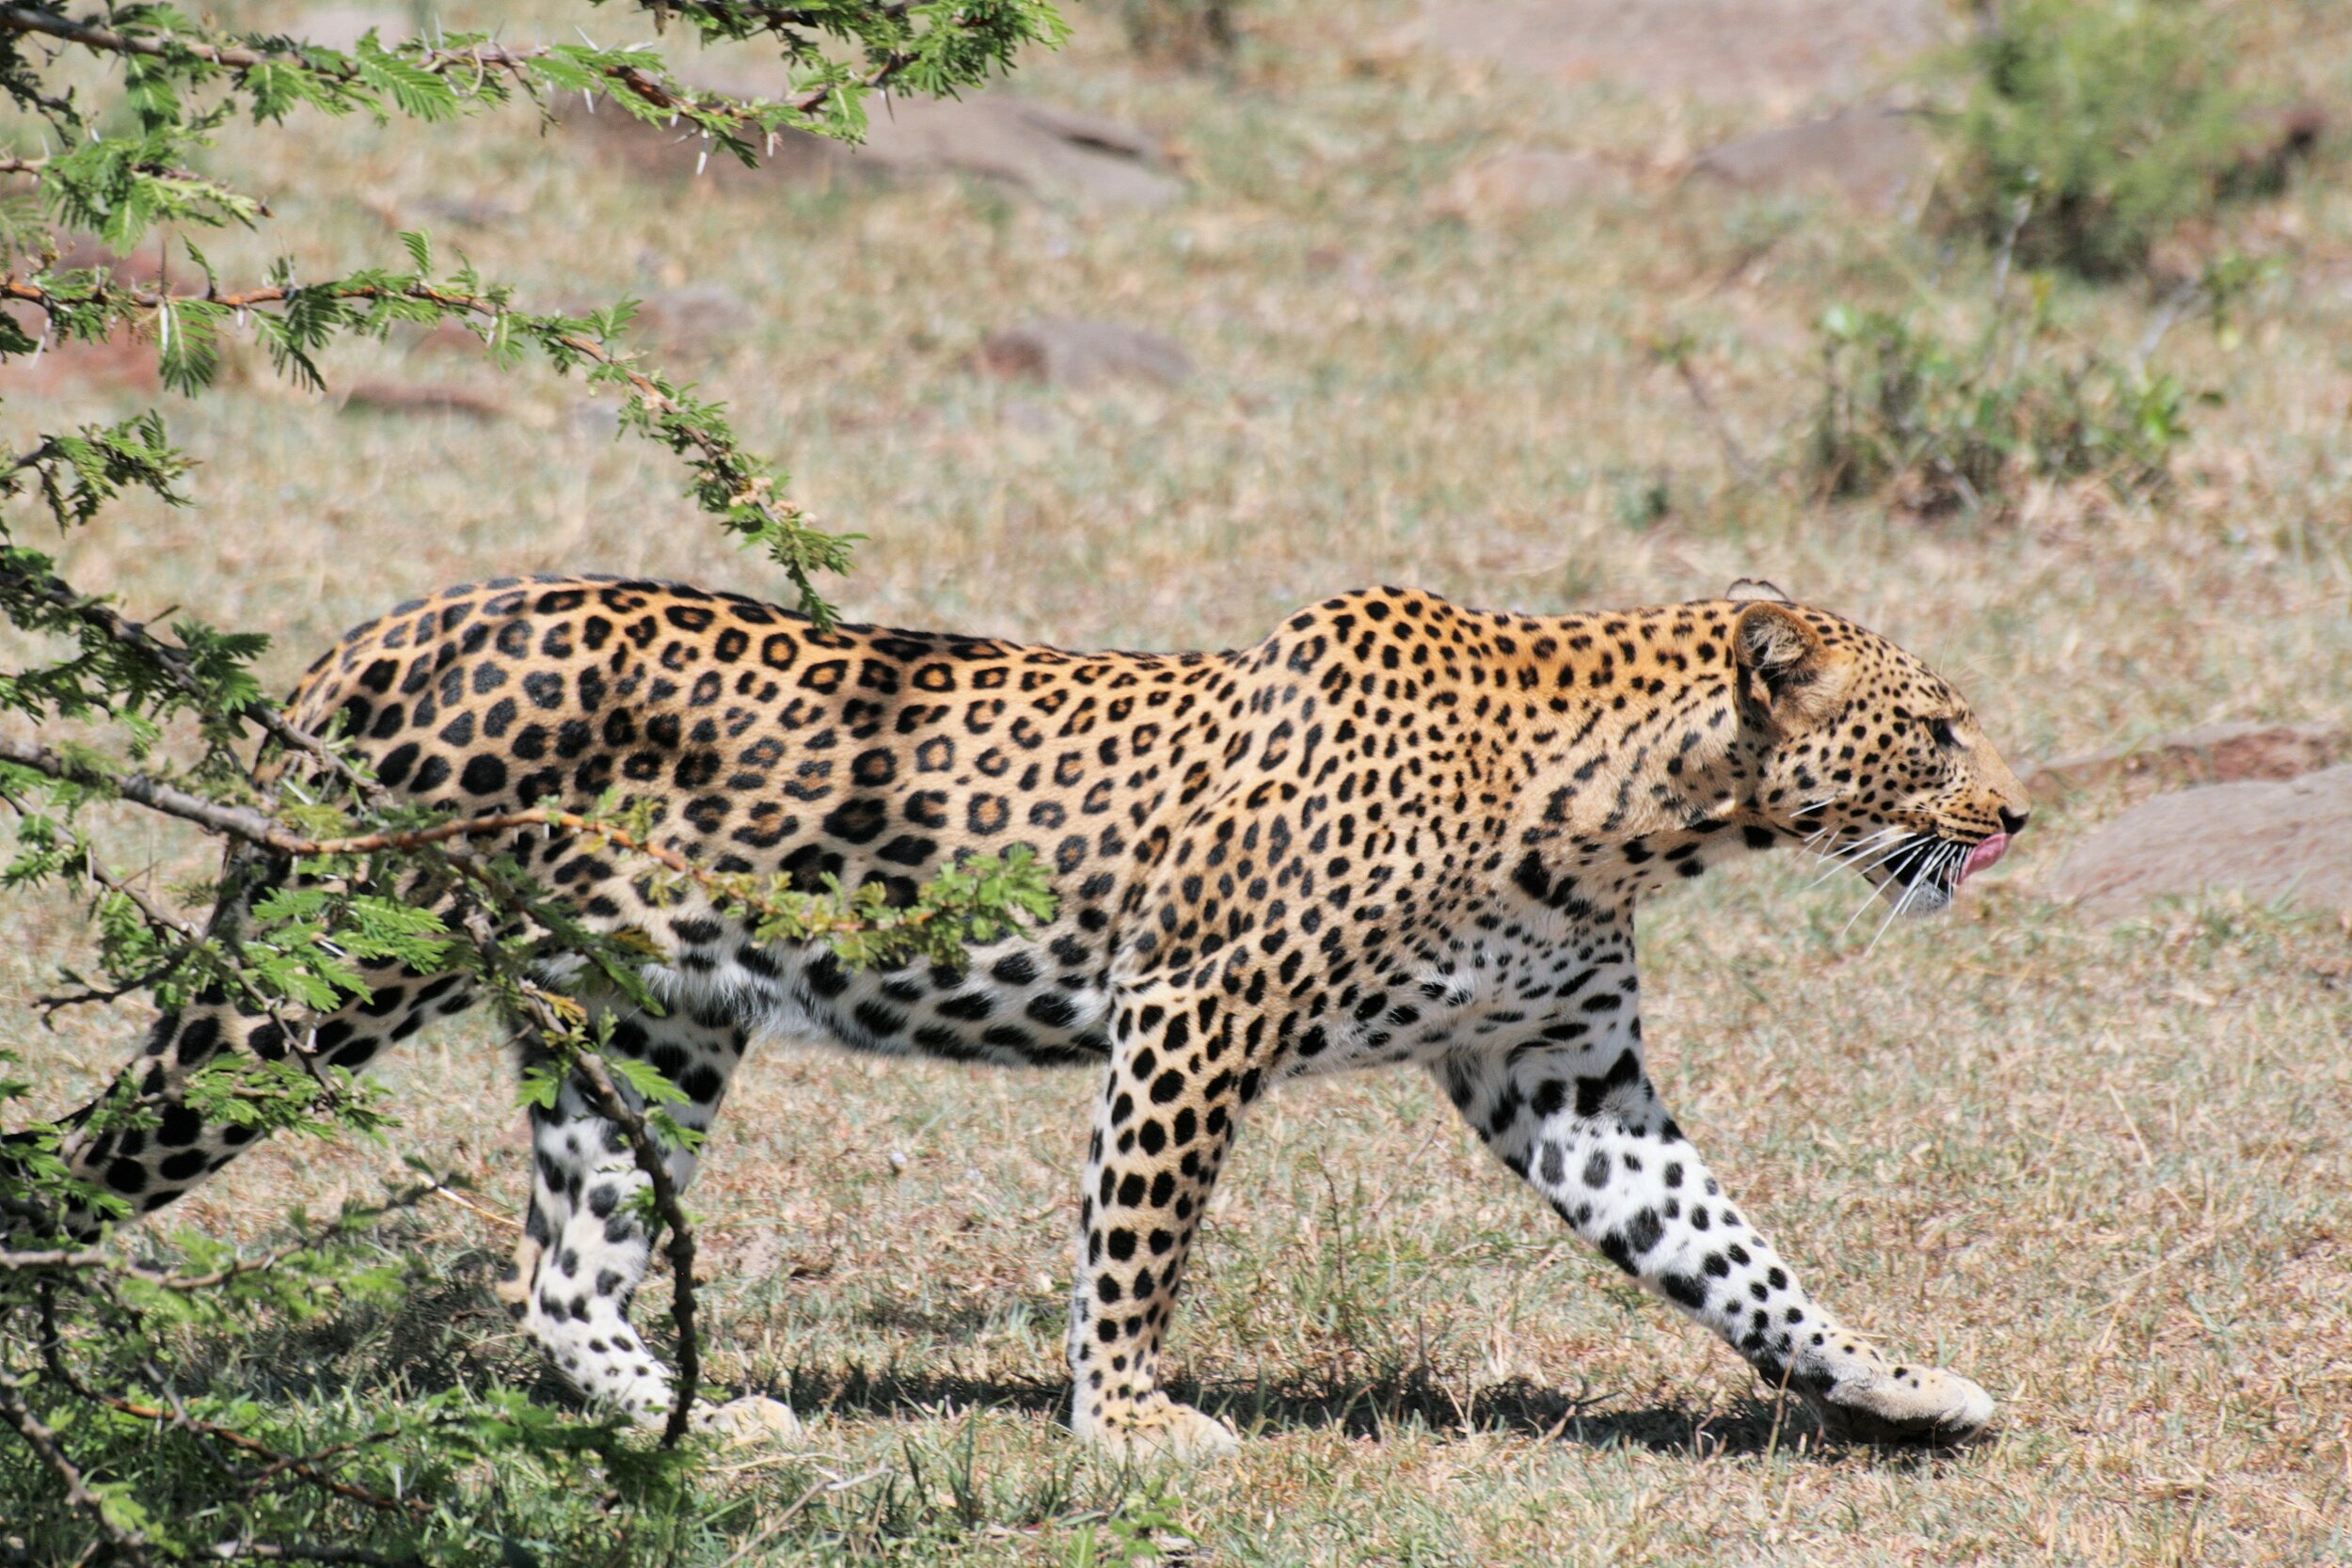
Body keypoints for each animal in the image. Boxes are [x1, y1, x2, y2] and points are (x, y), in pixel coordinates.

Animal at [24, 573, 2029, 1456]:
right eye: (1934, 730)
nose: (2015, 815)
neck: (1626, 814)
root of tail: (375, 632)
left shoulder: (1565, 1072)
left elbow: (1735, 1254)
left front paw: (1893, 1380)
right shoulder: (1196, 1012)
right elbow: (1139, 1243)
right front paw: (1131, 1423)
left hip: (650, 1017)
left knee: (561, 1268)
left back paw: (698, 1411)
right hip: (317, 982)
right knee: (85, 1155)